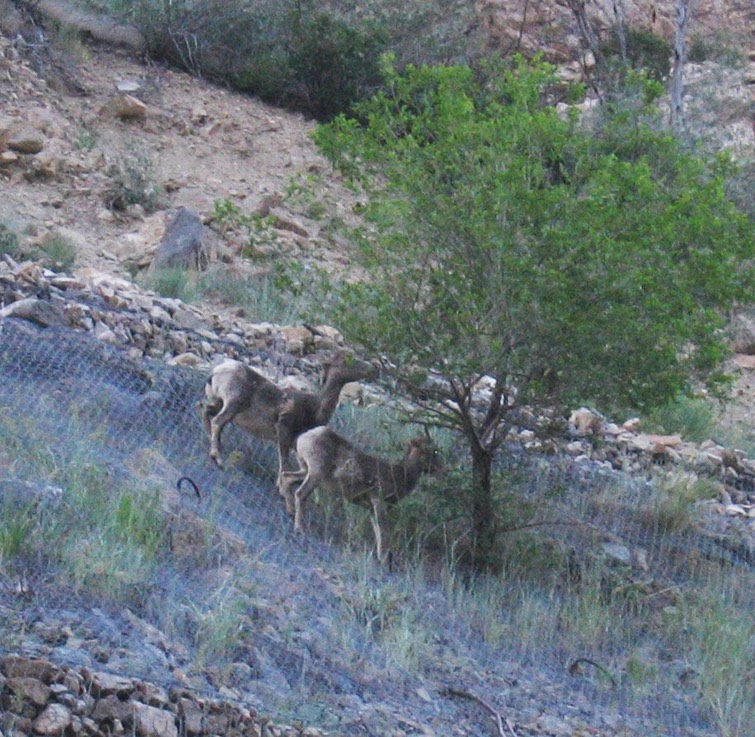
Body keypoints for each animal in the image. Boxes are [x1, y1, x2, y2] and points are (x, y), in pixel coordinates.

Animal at [199, 352, 377, 478]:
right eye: (348, 360)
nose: (372, 369)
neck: (316, 406)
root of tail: (216, 372)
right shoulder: (284, 430)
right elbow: (284, 463)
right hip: (234, 405)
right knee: (217, 421)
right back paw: (218, 458)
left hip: (219, 403)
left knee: (207, 412)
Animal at [279, 427, 442, 566]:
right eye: (433, 451)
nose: (442, 469)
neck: (401, 475)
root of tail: (305, 436)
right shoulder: (378, 502)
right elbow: (384, 532)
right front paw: (384, 561)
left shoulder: (371, 509)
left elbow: (377, 532)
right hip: (315, 474)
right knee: (300, 494)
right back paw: (300, 528)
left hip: (305, 471)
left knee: (286, 478)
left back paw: (290, 511)